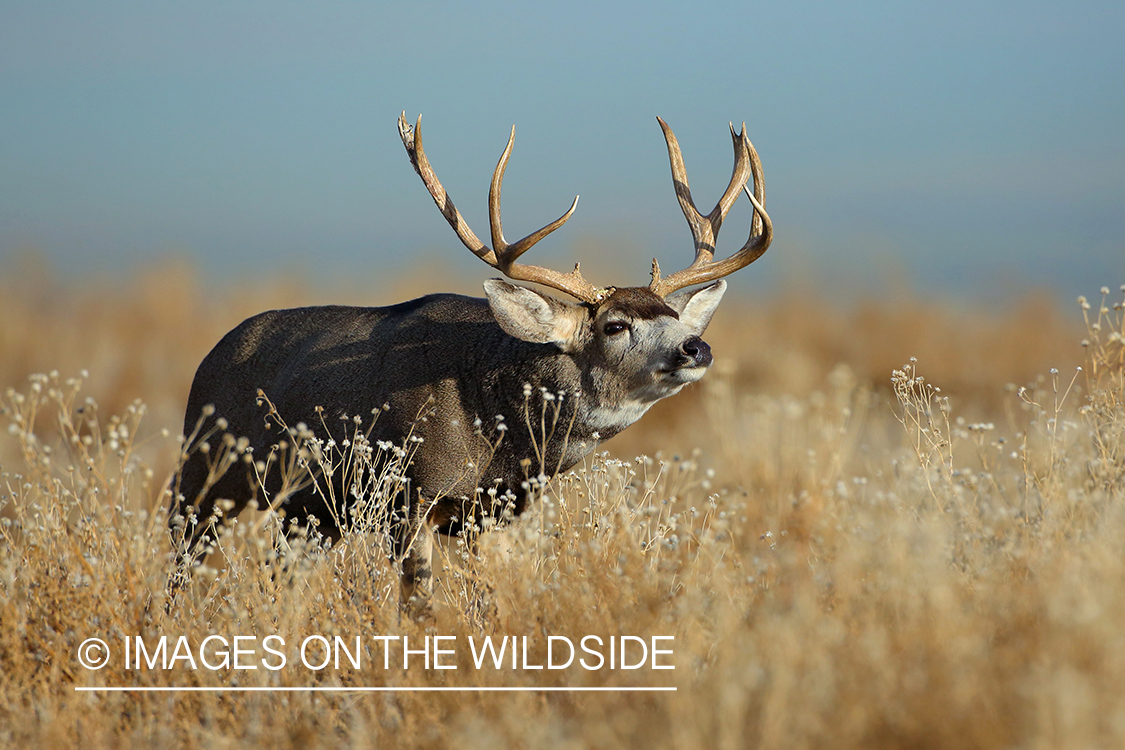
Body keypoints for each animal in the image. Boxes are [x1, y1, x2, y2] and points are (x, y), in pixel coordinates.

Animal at [168, 111, 771, 616]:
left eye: (673, 313)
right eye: (615, 325)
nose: (696, 347)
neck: (495, 421)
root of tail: (211, 355)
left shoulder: (492, 515)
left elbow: (488, 599)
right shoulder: (412, 496)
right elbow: (419, 605)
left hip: (306, 510)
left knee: (281, 571)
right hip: (203, 472)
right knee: (180, 557)